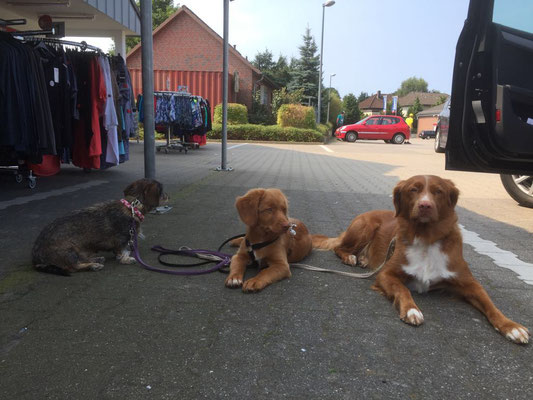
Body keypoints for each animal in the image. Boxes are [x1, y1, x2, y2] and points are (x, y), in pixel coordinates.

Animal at [32, 179, 165, 276]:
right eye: (161, 191)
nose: (167, 196)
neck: (132, 207)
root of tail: (36, 257)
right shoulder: (122, 240)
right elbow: (122, 251)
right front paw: (125, 259)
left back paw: (97, 259)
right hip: (68, 252)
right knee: (73, 267)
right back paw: (93, 266)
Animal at [312, 175, 528, 344]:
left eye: (438, 191)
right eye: (413, 189)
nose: (425, 205)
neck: (426, 238)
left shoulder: (469, 283)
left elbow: (491, 305)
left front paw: (511, 326)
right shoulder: (386, 274)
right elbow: (403, 289)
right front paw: (411, 310)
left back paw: (364, 259)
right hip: (365, 226)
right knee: (339, 248)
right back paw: (351, 257)